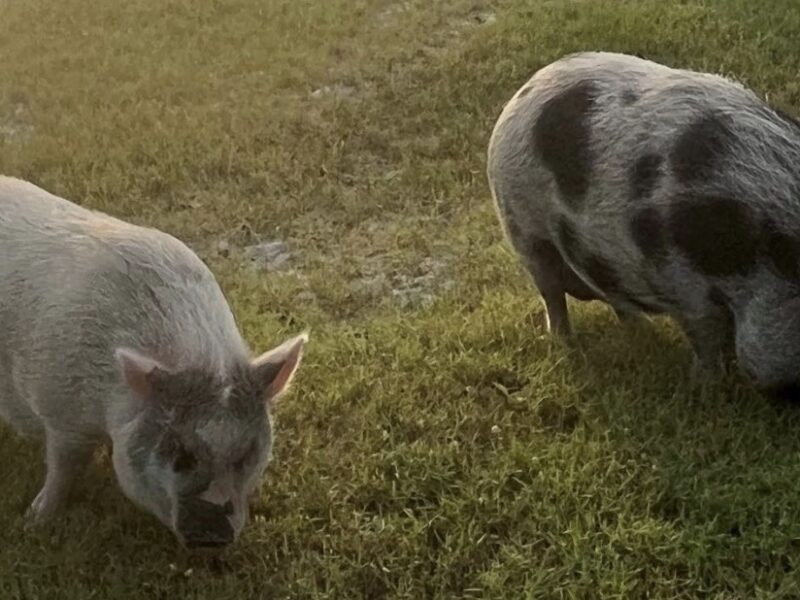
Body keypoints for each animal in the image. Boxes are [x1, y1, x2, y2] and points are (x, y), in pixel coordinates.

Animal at [0, 176, 307, 547]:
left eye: (247, 453)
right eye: (179, 452)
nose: (212, 535)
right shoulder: (61, 413)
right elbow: (64, 468)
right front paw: (35, 520)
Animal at [487, 51, 800, 399]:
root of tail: (521, 93)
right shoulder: (682, 281)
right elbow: (706, 336)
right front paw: (706, 387)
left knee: (614, 295)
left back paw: (641, 330)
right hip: (525, 231)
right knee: (552, 296)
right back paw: (567, 345)